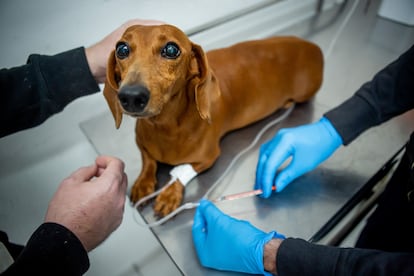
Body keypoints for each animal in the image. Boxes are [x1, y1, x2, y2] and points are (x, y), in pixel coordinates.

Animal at [103, 24, 324, 218]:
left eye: (171, 49)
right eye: (122, 49)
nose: (131, 96)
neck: (165, 126)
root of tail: (313, 47)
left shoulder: (209, 157)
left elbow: (181, 174)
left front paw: (169, 194)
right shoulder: (142, 143)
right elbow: (148, 160)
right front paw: (143, 184)